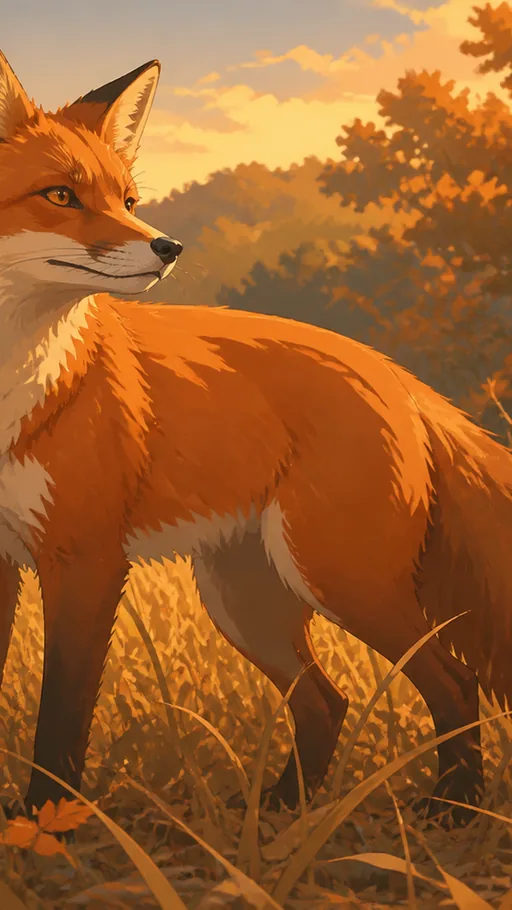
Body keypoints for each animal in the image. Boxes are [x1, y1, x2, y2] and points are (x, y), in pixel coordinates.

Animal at [0, 48, 510, 831]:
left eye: (128, 199)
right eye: (60, 195)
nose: (168, 247)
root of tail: (393, 373)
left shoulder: (84, 557)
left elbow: (60, 716)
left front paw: (46, 826)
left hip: (340, 577)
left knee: (453, 683)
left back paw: (451, 810)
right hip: (247, 599)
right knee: (328, 702)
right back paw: (280, 813)